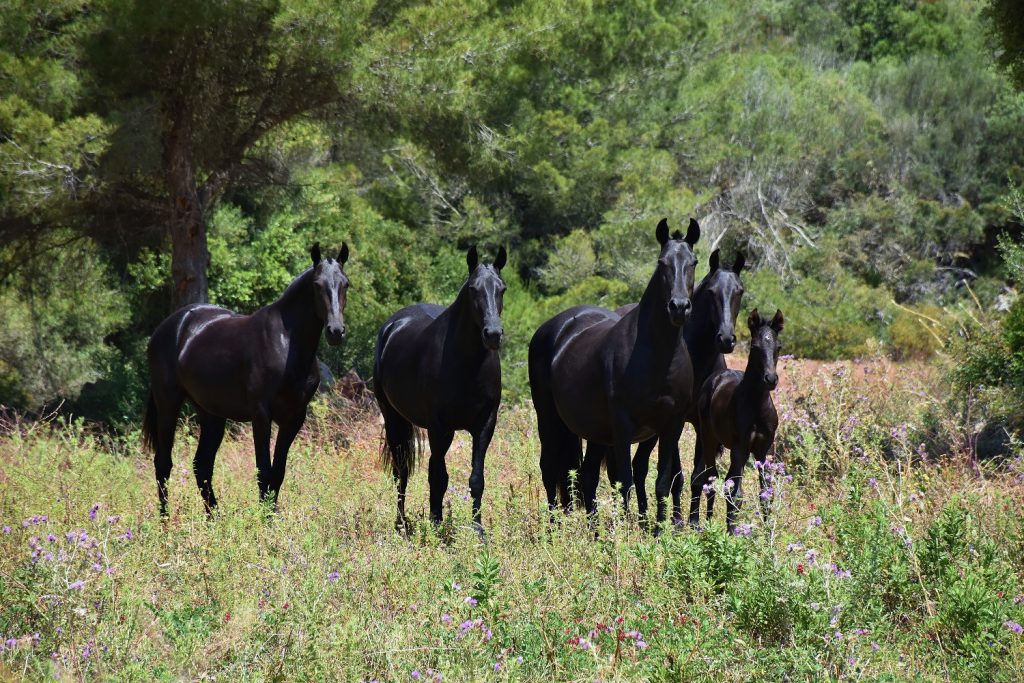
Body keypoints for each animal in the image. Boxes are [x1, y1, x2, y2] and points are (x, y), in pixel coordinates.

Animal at [142, 242, 352, 516]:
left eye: (345, 284)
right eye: (317, 284)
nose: (336, 331)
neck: (286, 344)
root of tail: (168, 327)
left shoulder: (294, 417)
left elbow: (278, 473)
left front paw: (271, 519)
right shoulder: (261, 415)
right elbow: (264, 472)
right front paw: (264, 521)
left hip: (211, 413)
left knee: (202, 465)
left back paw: (215, 519)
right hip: (168, 403)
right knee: (163, 463)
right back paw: (165, 521)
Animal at [374, 244, 505, 532]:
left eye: (502, 288)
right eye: (473, 289)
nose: (493, 334)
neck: (467, 365)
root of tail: (393, 325)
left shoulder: (484, 425)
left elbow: (476, 478)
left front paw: (478, 531)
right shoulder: (438, 426)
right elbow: (438, 477)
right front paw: (436, 527)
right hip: (394, 419)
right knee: (402, 472)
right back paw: (400, 524)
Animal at [532, 216, 700, 520]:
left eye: (693, 262)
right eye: (662, 262)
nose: (679, 307)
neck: (658, 358)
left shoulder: (672, 425)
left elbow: (662, 482)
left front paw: (659, 529)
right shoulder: (623, 426)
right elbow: (626, 483)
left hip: (596, 431)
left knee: (587, 474)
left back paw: (594, 528)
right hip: (548, 418)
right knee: (549, 469)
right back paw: (552, 528)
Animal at [606, 248, 745, 528]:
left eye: (740, 291)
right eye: (711, 291)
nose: (726, 339)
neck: (699, 360)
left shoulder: (701, 425)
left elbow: (701, 475)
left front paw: (695, 521)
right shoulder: (676, 421)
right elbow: (677, 475)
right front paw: (679, 521)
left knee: (639, 465)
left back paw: (644, 518)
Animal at [696, 307, 782, 532]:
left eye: (778, 347)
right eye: (755, 347)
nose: (771, 379)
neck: (757, 407)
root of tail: (716, 377)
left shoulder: (765, 450)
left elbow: (765, 495)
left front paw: (767, 533)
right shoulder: (740, 448)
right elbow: (736, 495)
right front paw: (731, 534)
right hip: (709, 440)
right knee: (711, 479)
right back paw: (708, 523)